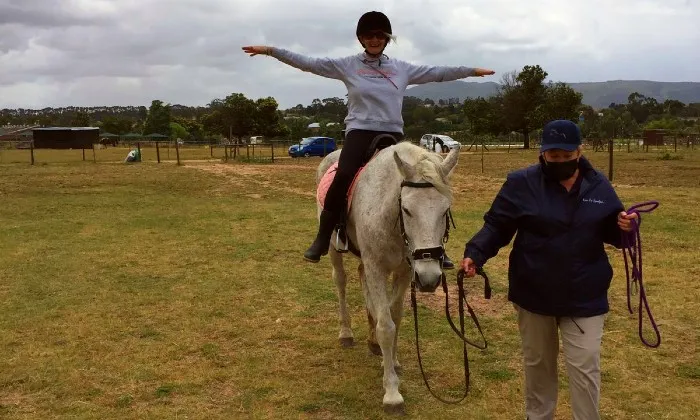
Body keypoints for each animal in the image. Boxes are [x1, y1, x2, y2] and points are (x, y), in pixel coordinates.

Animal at [314, 141, 460, 413]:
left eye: (445, 210)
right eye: (407, 209)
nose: (429, 278)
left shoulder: (404, 272)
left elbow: (394, 317)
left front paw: (390, 359)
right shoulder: (377, 267)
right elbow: (386, 326)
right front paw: (392, 392)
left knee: (362, 280)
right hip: (334, 251)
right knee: (341, 281)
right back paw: (346, 333)